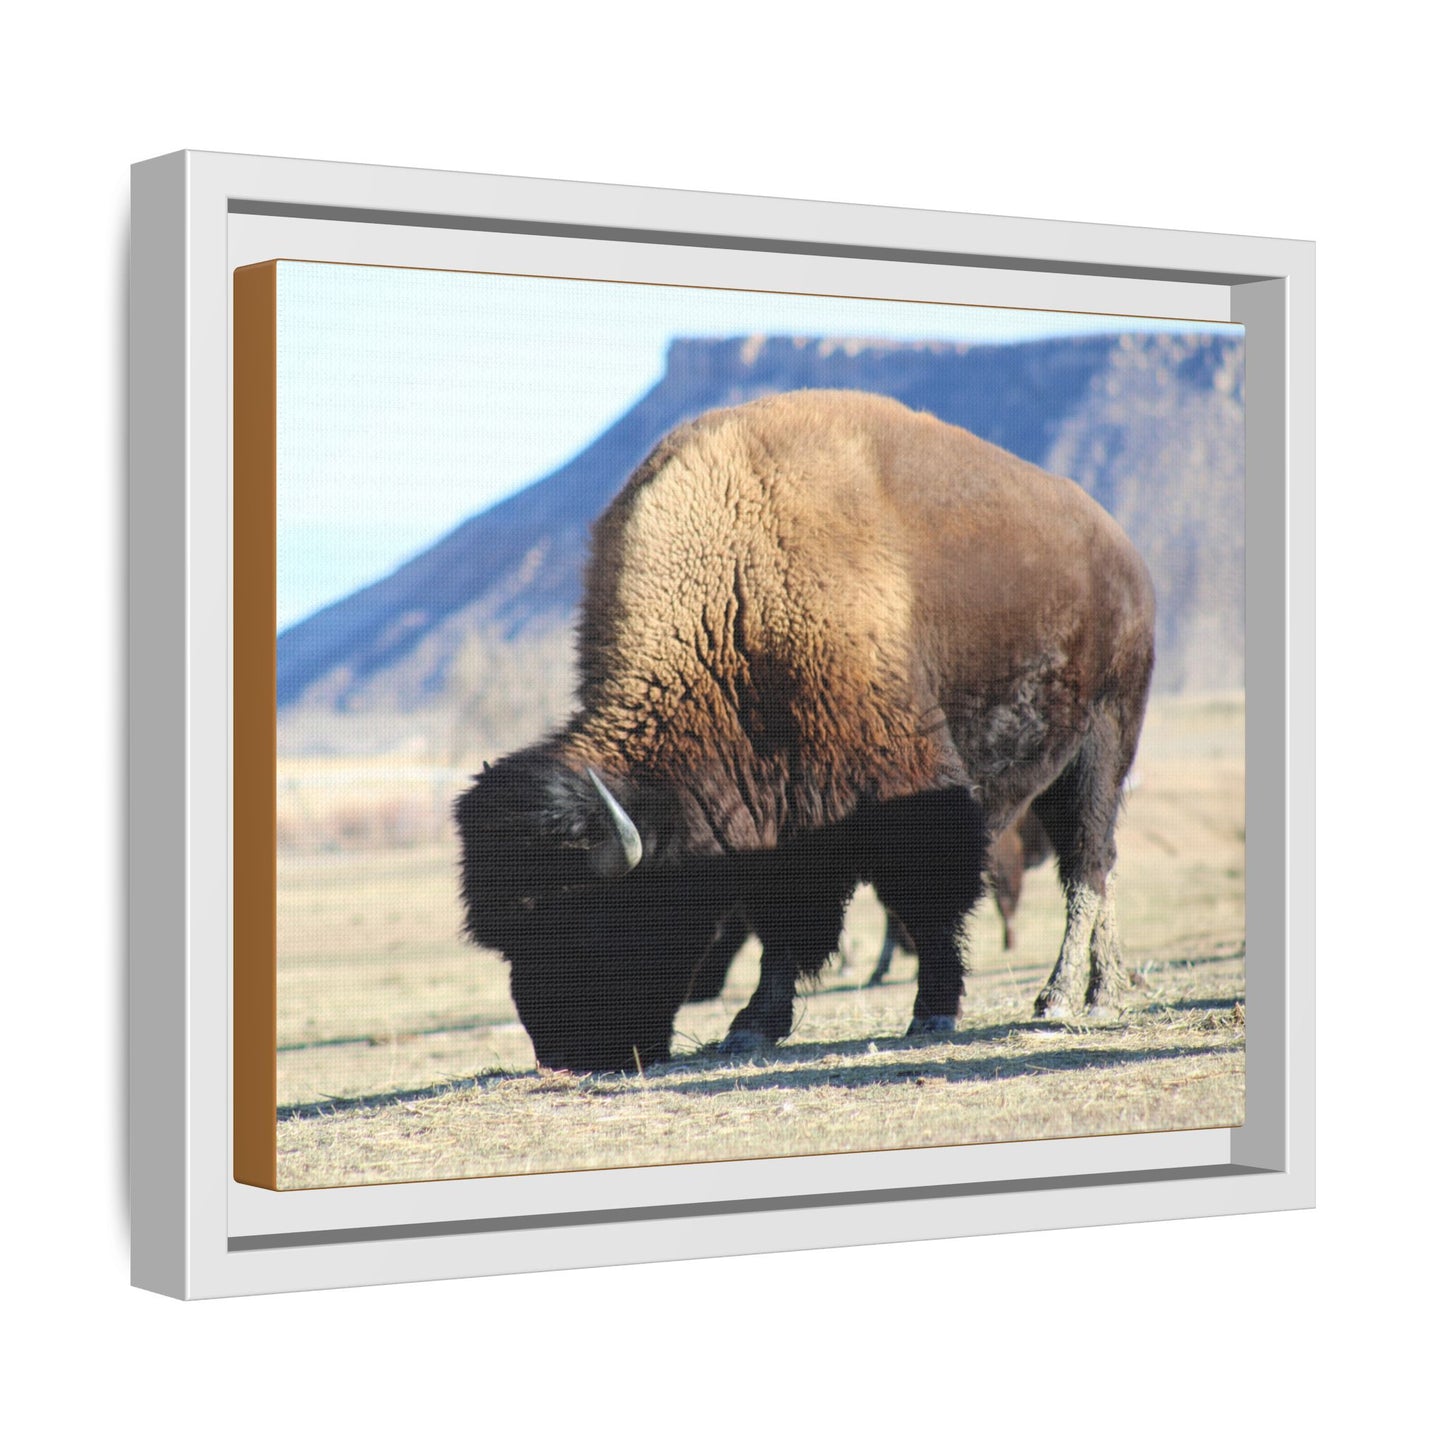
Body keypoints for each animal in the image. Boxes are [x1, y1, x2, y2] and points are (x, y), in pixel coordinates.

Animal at [456, 390, 1155, 1071]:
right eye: (507, 936)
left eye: (582, 914)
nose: (564, 1055)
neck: (734, 601)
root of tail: (1123, 553)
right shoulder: (779, 819)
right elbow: (783, 925)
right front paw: (752, 1027)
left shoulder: (906, 788)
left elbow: (927, 900)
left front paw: (933, 1011)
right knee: (1100, 866)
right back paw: (1104, 988)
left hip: (1101, 744)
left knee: (1087, 866)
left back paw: (1067, 997)